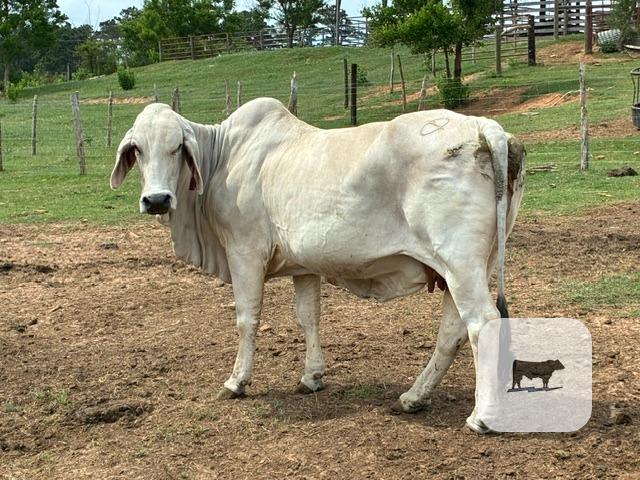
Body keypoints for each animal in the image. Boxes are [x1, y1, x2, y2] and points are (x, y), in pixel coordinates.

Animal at [110, 98, 526, 434]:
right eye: (138, 149)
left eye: (177, 148)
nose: (157, 199)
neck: (223, 156)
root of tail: (483, 127)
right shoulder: (304, 266)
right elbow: (308, 317)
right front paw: (311, 377)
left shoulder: (244, 251)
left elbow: (247, 318)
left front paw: (237, 381)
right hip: (469, 266)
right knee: (452, 331)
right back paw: (413, 397)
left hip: (460, 263)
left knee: (482, 324)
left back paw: (481, 417)